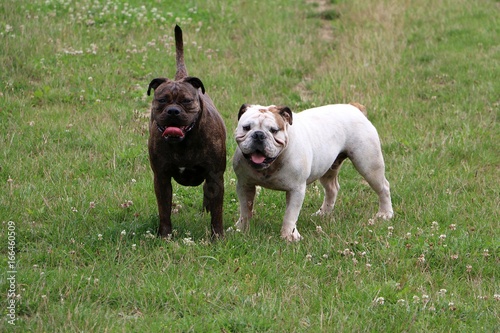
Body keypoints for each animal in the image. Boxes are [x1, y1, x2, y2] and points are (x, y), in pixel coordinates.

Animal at [146, 26, 227, 239]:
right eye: (162, 100)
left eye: (187, 101)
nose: (173, 111)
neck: (184, 142)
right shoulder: (161, 178)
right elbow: (164, 210)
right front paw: (165, 235)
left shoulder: (215, 176)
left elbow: (217, 212)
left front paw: (217, 237)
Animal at [231, 102, 394, 240]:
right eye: (246, 127)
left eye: (274, 130)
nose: (258, 135)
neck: (272, 163)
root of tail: (354, 107)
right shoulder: (244, 185)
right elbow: (245, 209)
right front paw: (241, 228)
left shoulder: (296, 190)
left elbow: (290, 214)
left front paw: (288, 236)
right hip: (328, 168)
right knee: (332, 189)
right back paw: (323, 213)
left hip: (369, 165)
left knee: (383, 187)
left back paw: (385, 214)